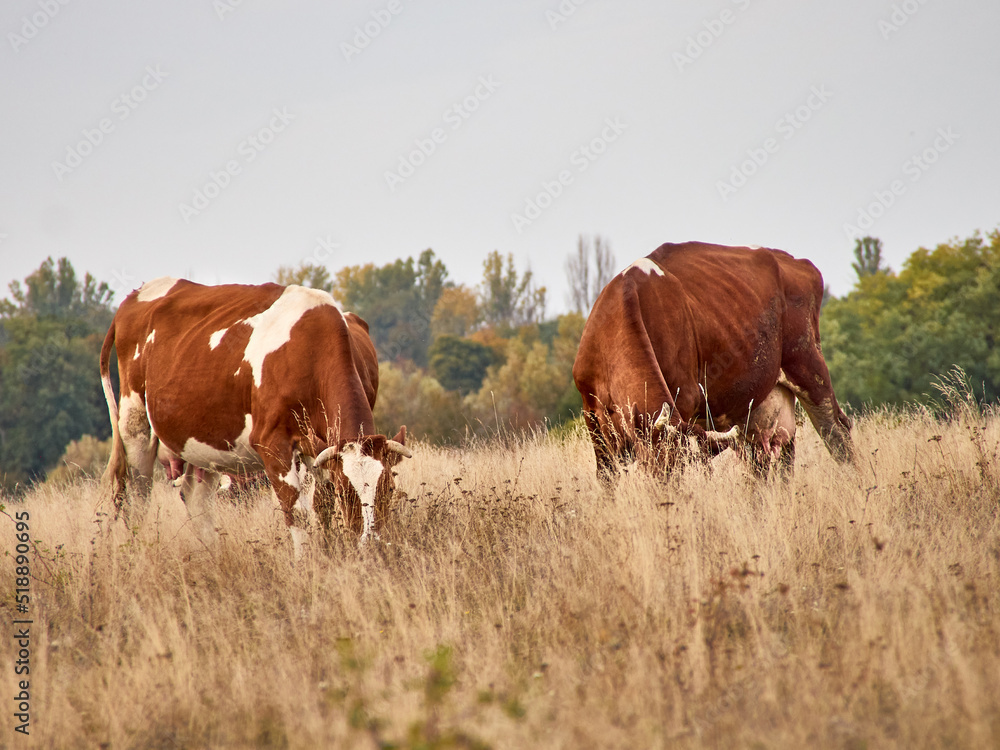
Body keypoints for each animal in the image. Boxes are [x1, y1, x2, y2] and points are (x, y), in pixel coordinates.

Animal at [99, 280, 412, 556]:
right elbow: (296, 512)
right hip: (135, 425)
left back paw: (215, 559)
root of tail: (134, 295)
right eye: (346, 493)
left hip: (204, 442)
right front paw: (306, 564)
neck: (310, 348)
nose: (371, 544)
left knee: (195, 498)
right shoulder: (273, 444)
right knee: (136, 499)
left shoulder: (320, 448)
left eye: (389, 489)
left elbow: (321, 508)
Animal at [576, 244, 856, 484]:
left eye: (680, 467)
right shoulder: (592, 415)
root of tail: (795, 261)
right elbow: (606, 477)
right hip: (759, 403)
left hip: (808, 365)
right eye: (658, 464)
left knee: (836, 432)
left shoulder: (685, 399)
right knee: (772, 456)